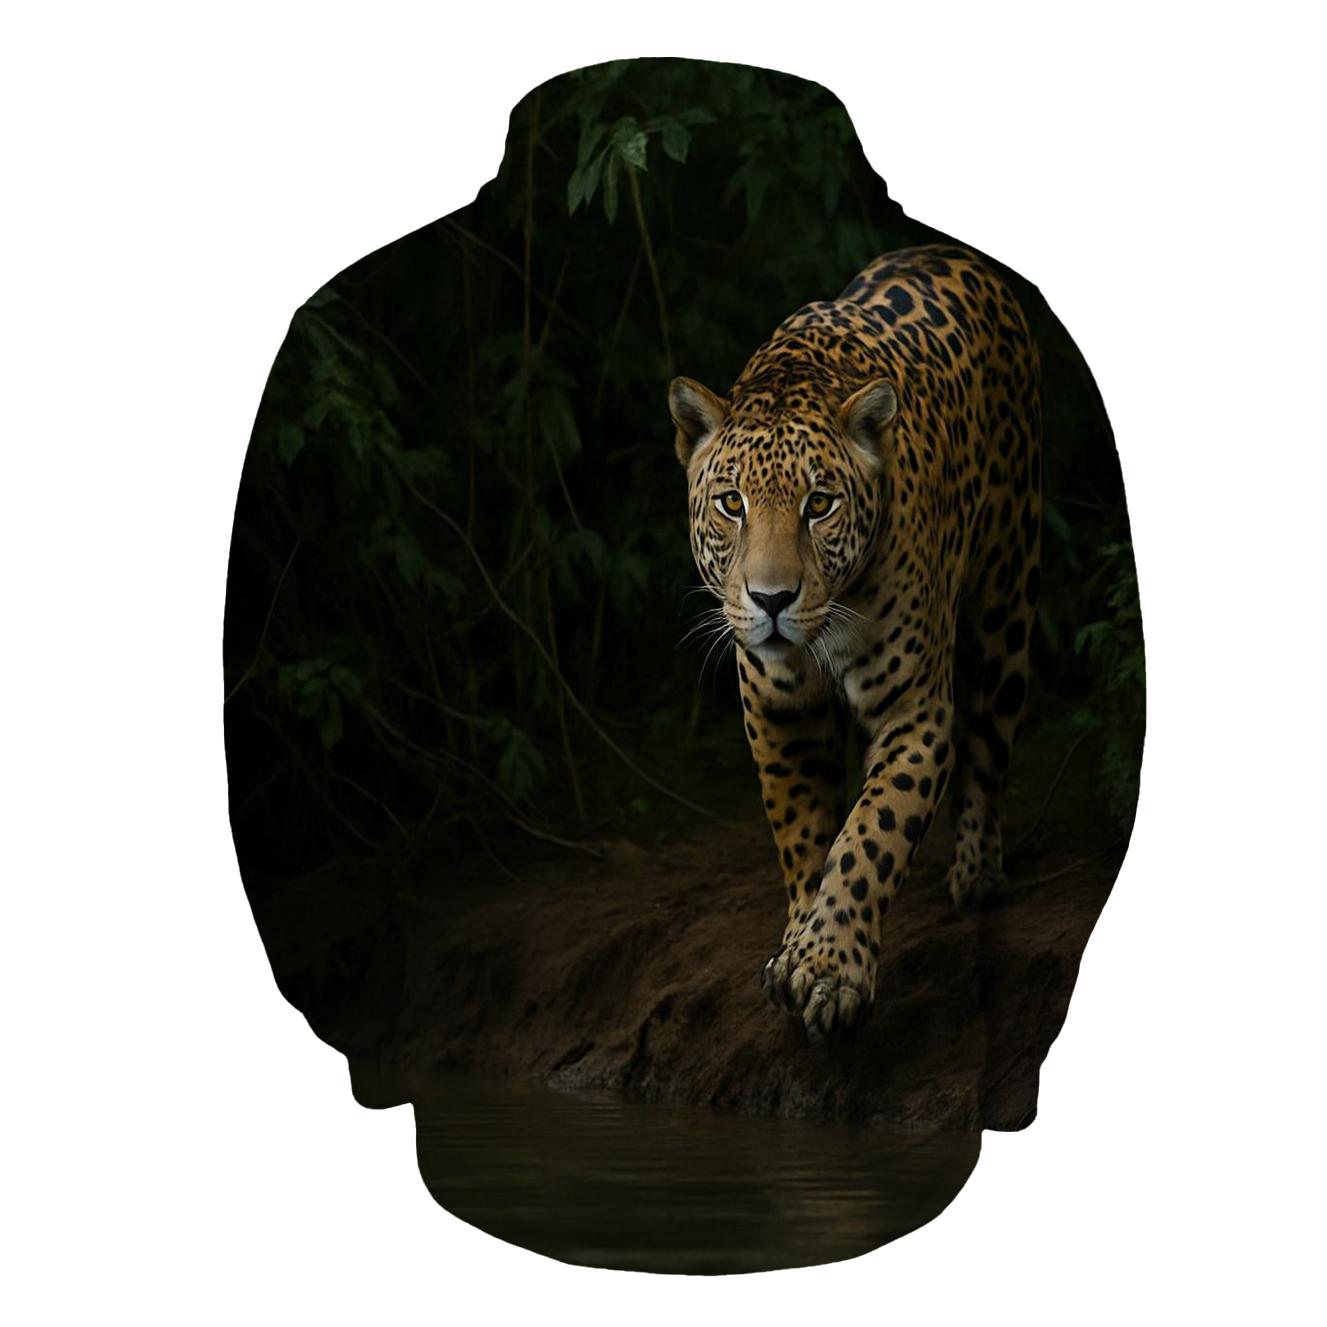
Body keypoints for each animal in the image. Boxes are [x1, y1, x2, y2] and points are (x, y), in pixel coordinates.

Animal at [668, 243, 1042, 1042]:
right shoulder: (779, 714)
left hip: (1006, 601)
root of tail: (950, 251)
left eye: (820, 504)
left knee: (989, 745)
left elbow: (870, 834)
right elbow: (807, 837)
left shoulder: (914, 713)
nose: (770, 600)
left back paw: (977, 872)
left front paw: (829, 966)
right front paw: (798, 945)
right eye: (731, 503)